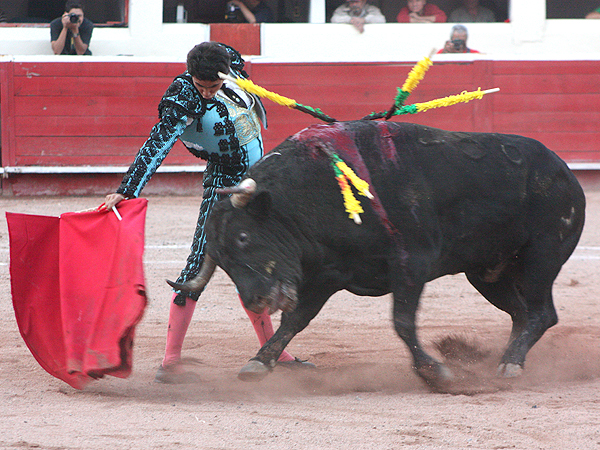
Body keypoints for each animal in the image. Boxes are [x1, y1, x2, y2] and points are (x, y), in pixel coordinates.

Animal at [169, 120, 584, 390]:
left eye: (242, 237)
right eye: (221, 261)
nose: (255, 301)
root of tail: (566, 174)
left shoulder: (411, 263)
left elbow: (402, 321)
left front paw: (436, 373)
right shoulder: (326, 275)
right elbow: (295, 321)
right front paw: (257, 363)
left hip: (541, 260)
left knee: (541, 313)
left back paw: (510, 365)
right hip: (486, 274)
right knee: (522, 314)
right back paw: (505, 359)